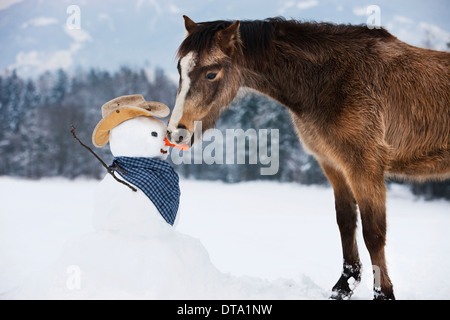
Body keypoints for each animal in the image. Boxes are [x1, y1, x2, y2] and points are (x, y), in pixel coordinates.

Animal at [166, 15, 450, 300]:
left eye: (211, 73)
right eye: (180, 69)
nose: (176, 132)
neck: (330, 80)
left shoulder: (365, 167)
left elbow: (373, 233)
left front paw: (383, 294)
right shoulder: (333, 165)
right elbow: (346, 222)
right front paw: (344, 285)